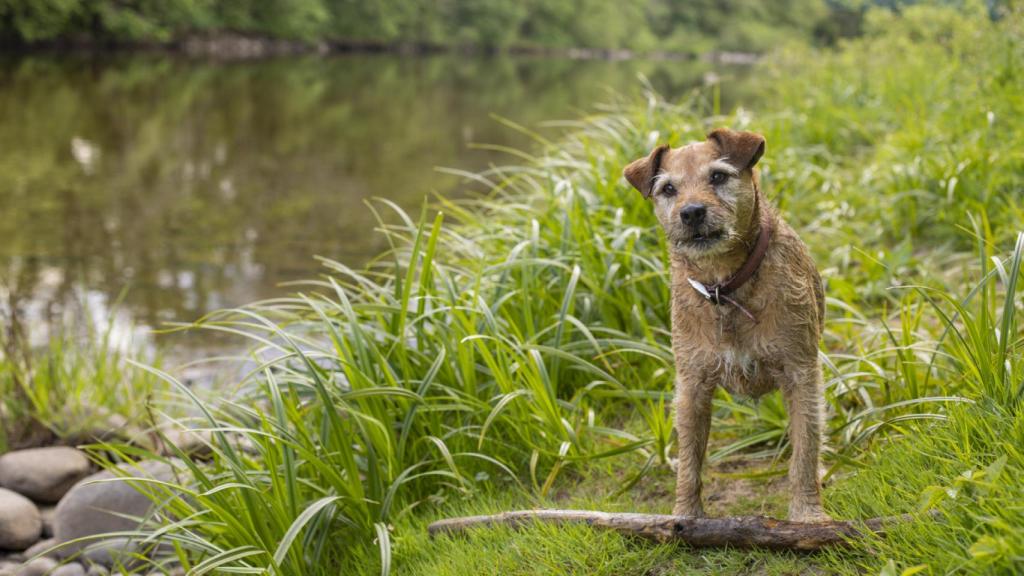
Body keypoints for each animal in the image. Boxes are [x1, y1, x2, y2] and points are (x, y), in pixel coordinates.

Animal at [622, 129, 831, 520]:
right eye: (668, 189)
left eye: (718, 176)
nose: (691, 212)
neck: (724, 286)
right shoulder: (691, 387)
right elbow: (689, 462)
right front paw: (685, 517)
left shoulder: (801, 373)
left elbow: (805, 451)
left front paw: (807, 515)